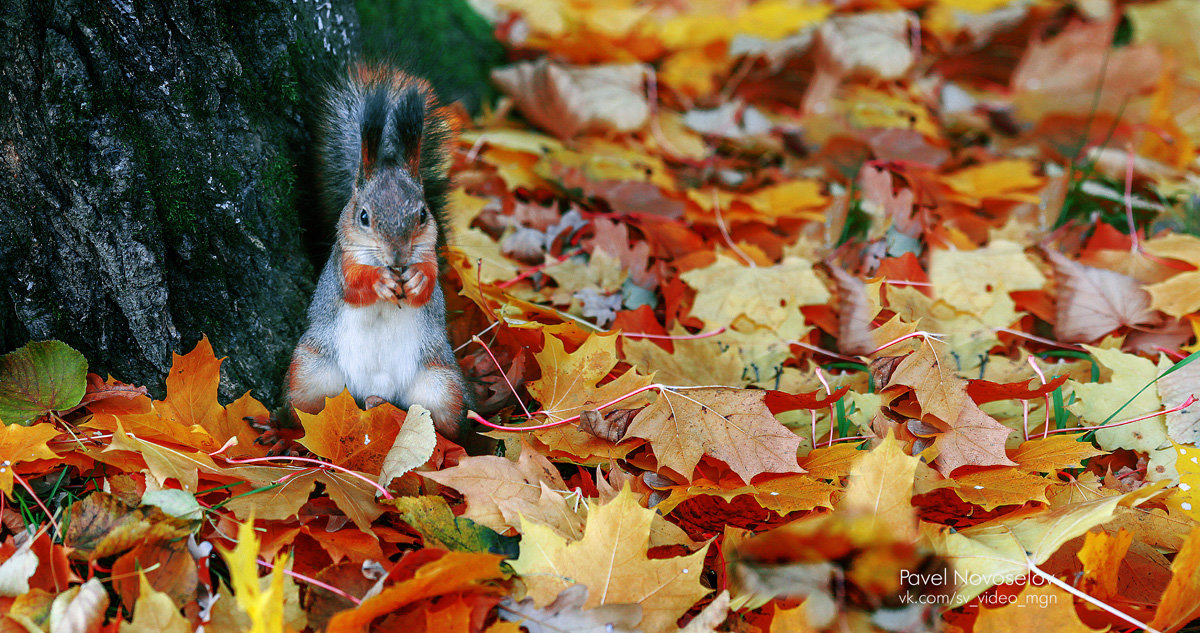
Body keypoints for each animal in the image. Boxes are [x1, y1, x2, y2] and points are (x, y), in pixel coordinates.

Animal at [272, 62, 477, 450]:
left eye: (423, 215)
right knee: (303, 412)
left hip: (441, 385)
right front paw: (379, 283)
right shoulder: (342, 262)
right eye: (364, 216)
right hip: (309, 373)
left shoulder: (428, 254)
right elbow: (354, 287)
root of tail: (374, 395)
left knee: (444, 424)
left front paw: (417, 281)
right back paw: (284, 436)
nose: (397, 257)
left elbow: (429, 286)